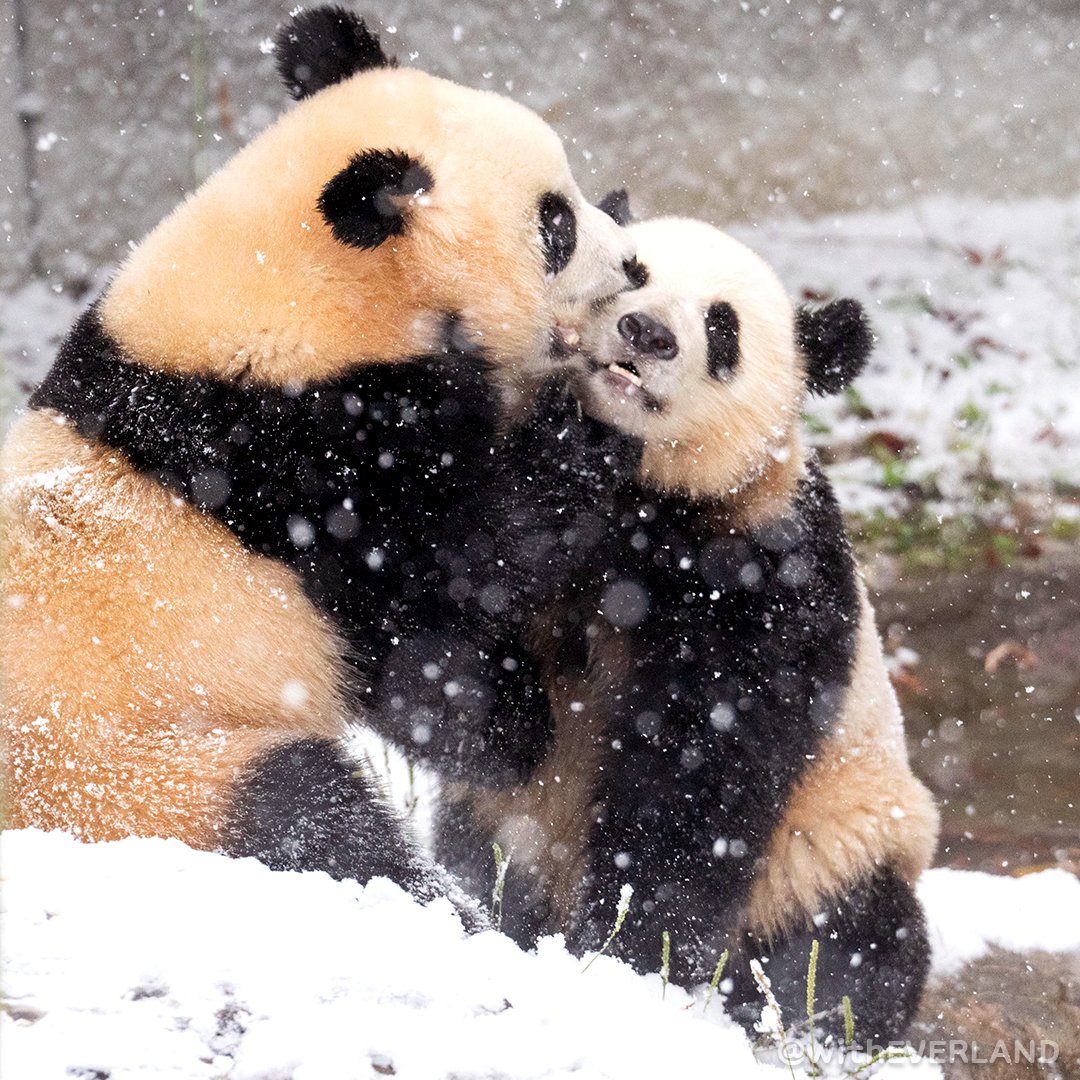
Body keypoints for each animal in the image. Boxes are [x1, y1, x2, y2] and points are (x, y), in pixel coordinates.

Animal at [2, 8, 639, 902]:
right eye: (556, 225)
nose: (634, 265)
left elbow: (423, 667)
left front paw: (515, 727)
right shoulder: (302, 461)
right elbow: (467, 555)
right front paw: (584, 430)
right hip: (119, 778)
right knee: (304, 811)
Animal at [434, 206, 941, 1041]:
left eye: (722, 328)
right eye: (632, 272)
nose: (645, 332)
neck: (646, 494)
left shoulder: (761, 571)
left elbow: (700, 768)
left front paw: (632, 956)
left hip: (837, 838)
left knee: (854, 940)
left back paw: (794, 1006)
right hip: (508, 824)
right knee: (483, 851)